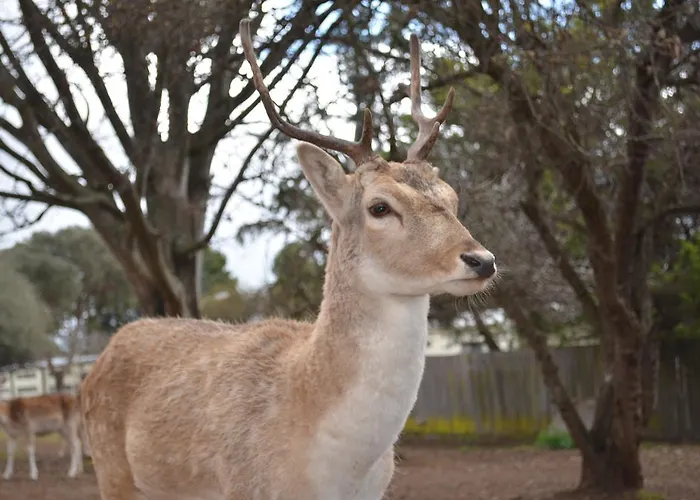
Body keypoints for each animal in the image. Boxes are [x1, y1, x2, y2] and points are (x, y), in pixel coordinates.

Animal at [79, 18, 497, 500]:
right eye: (379, 207)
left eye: (452, 197)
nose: (482, 260)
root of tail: (96, 365)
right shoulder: (244, 486)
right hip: (110, 467)